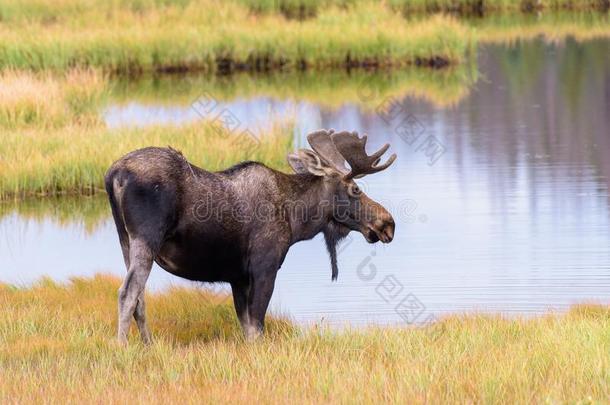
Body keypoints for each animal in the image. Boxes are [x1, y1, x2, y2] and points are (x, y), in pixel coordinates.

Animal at [105, 129, 394, 344]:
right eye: (355, 189)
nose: (387, 223)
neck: (296, 219)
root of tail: (113, 175)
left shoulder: (238, 277)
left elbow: (246, 328)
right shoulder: (264, 267)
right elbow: (257, 328)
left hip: (125, 240)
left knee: (139, 298)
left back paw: (148, 345)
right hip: (146, 238)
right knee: (127, 293)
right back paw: (123, 347)